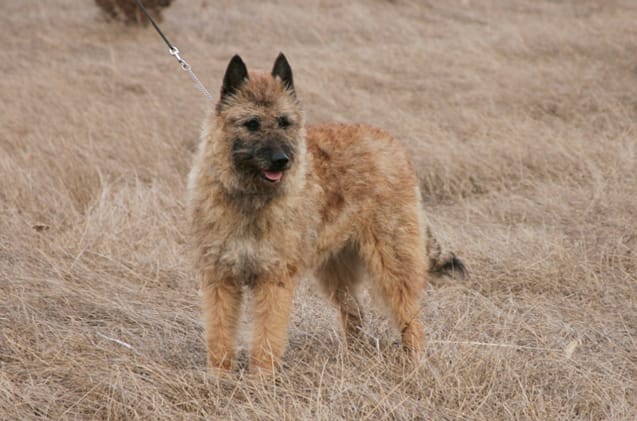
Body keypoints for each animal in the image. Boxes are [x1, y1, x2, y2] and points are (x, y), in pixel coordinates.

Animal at [186, 54, 464, 372]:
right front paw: (219, 377)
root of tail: (392, 144)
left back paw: (414, 360)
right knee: (355, 314)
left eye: (284, 122)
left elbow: (266, 337)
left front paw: (261, 379)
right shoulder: (220, 279)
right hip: (338, 270)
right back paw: (353, 356)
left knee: (409, 316)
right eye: (251, 123)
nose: (282, 160)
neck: (250, 198)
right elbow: (220, 335)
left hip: (392, 263)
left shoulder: (273, 280)